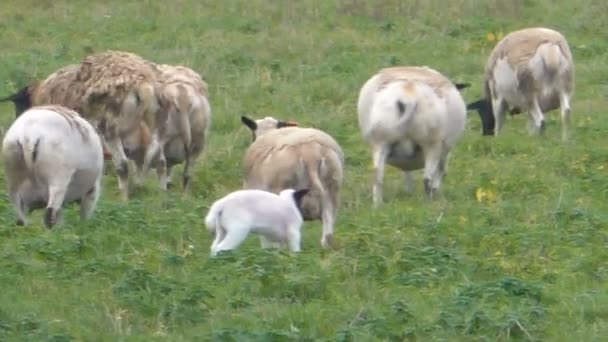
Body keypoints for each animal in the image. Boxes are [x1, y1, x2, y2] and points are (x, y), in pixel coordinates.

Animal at [358, 66, 468, 206]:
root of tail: (408, 97)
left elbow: (408, 173)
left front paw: (408, 191)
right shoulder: (444, 154)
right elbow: (440, 173)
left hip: (380, 140)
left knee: (377, 176)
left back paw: (378, 205)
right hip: (432, 143)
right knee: (427, 179)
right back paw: (429, 204)